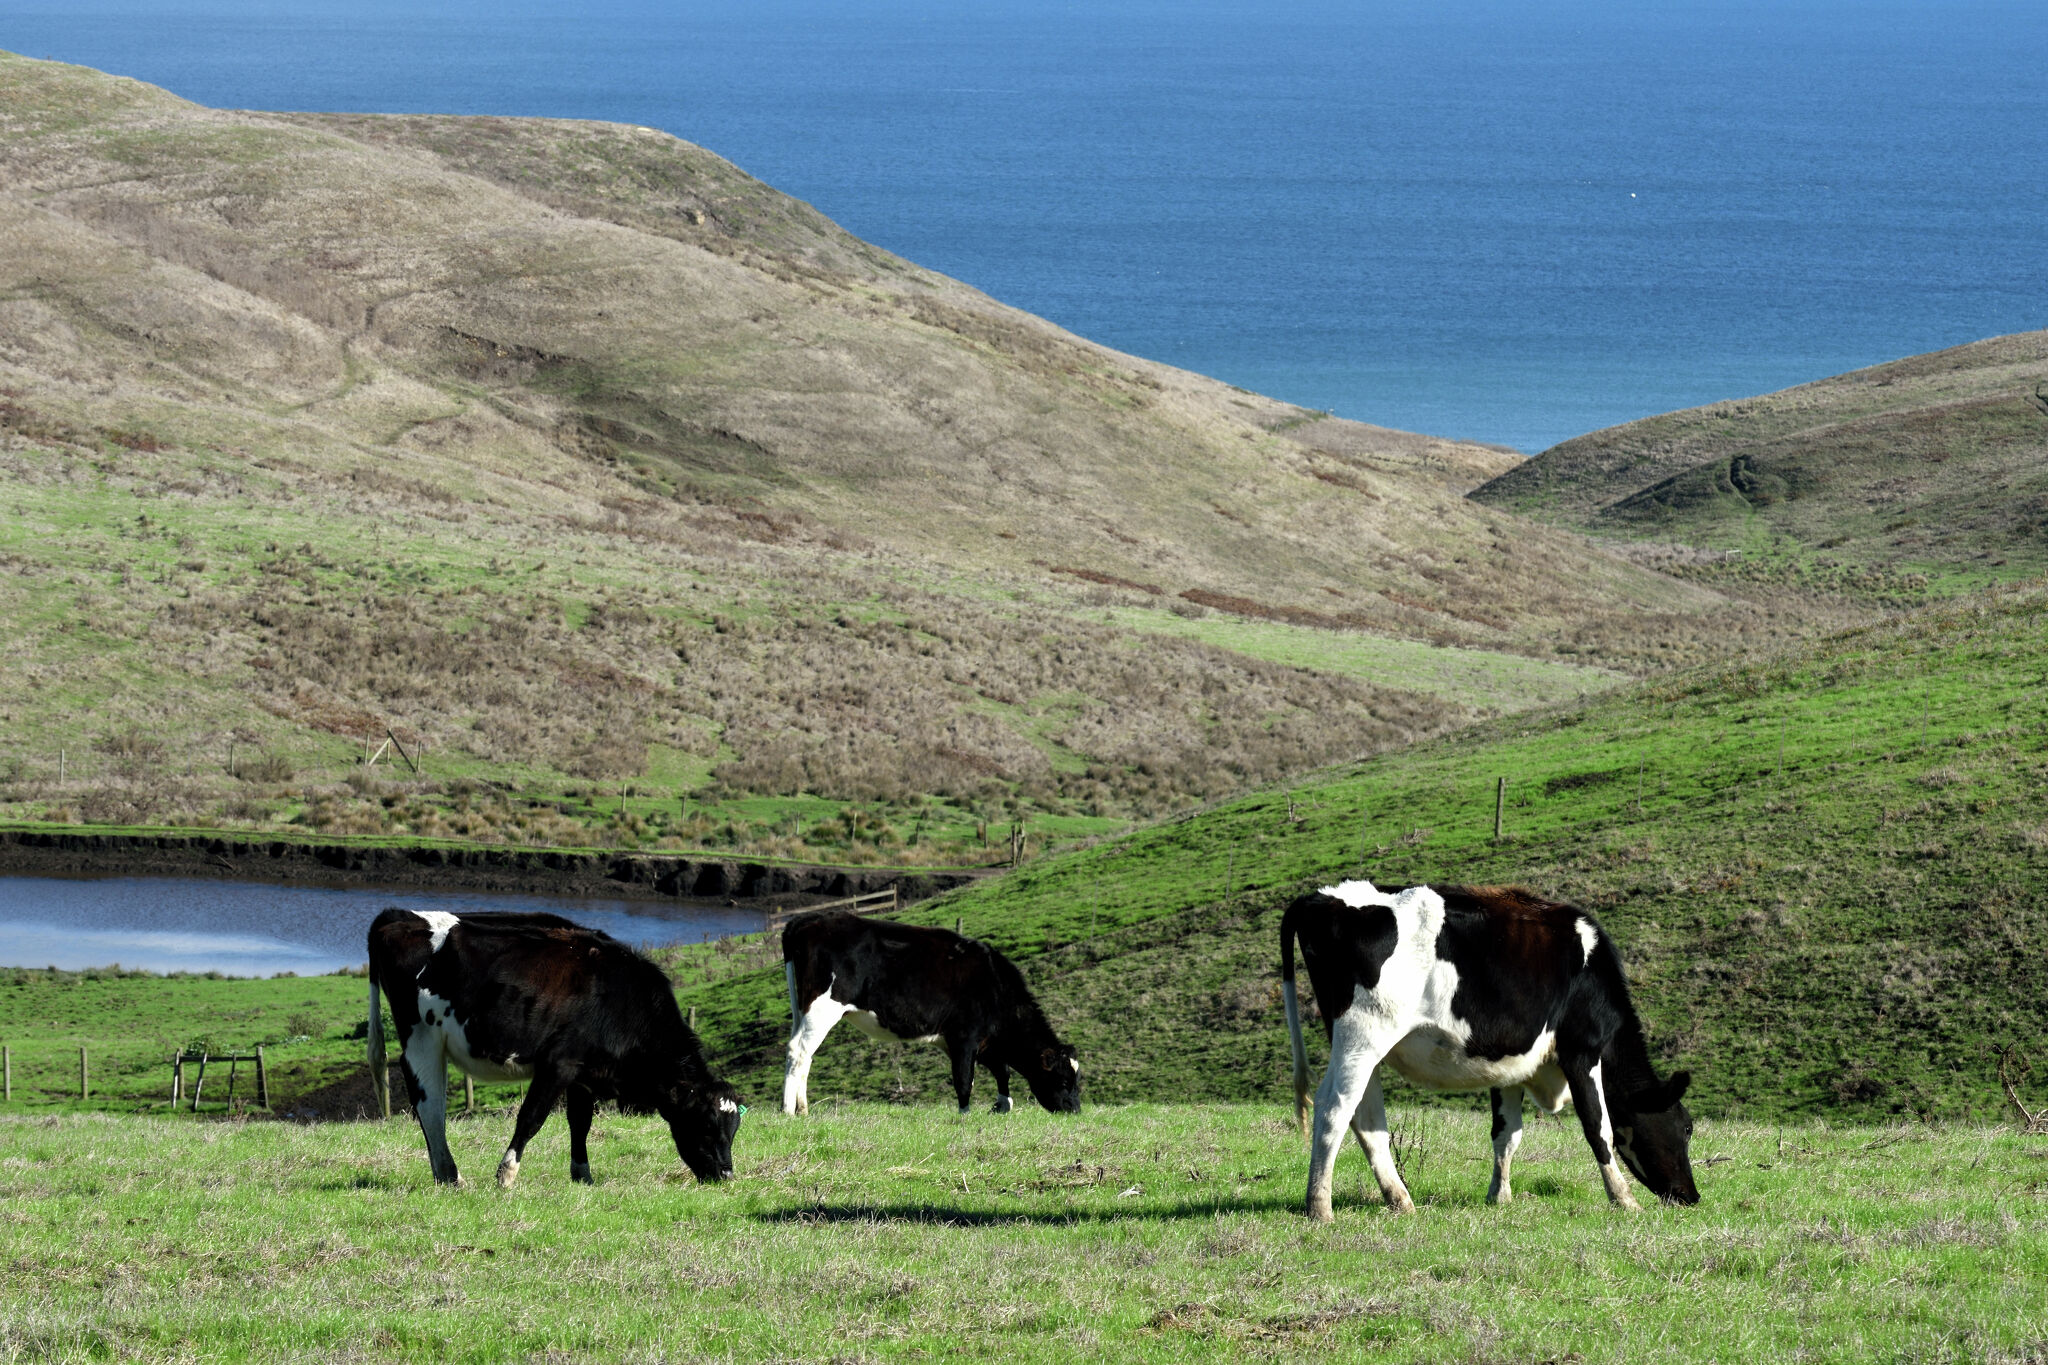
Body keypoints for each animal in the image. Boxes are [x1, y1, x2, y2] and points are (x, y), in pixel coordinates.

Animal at [366, 908, 744, 1188]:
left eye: (734, 1129)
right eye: (706, 1123)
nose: (726, 1175)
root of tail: (397, 915)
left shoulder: (584, 1072)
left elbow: (580, 1122)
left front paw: (583, 1175)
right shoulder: (558, 1064)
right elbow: (531, 1118)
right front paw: (506, 1174)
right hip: (421, 1037)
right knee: (429, 1104)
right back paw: (449, 1175)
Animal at [780, 910, 1082, 1116]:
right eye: (1064, 1079)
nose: (1076, 1110)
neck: (995, 985)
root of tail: (809, 919)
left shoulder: (981, 1041)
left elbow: (1002, 1071)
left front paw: (1002, 1105)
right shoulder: (965, 1036)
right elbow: (964, 1079)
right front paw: (965, 1114)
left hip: (801, 1009)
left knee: (801, 1054)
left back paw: (802, 1109)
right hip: (822, 1007)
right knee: (799, 1052)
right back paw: (789, 1111)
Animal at [1281, 880, 1698, 1219]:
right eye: (1687, 1127)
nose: (1692, 1197)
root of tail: (1323, 897)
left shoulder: (1510, 1064)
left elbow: (1507, 1132)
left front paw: (1500, 1196)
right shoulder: (1582, 1049)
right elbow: (1600, 1128)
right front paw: (1624, 1199)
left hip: (1364, 1046)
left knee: (1367, 1116)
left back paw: (1400, 1200)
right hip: (1363, 1034)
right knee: (1335, 1107)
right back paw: (1320, 1207)